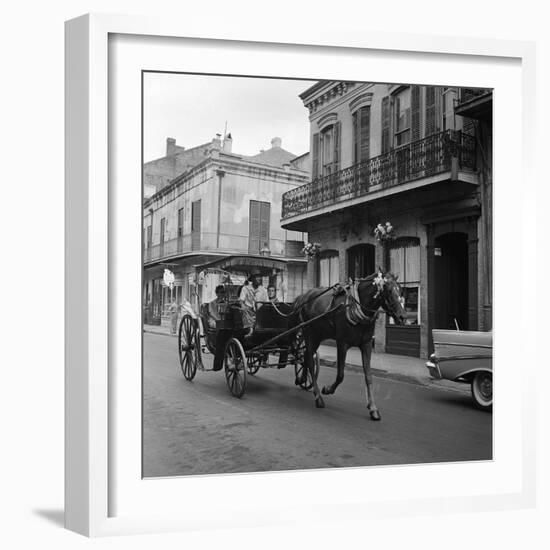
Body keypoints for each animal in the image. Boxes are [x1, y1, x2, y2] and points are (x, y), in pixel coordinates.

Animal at [294, 272, 410, 422]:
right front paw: (327, 389)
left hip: (317, 335)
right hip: (309, 334)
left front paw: (373, 408)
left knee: (306, 357)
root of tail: (304, 296)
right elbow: (340, 375)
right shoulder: (342, 343)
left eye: (401, 290)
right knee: (308, 359)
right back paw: (318, 397)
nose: (403, 317)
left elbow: (368, 376)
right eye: (389, 291)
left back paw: (303, 380)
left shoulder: (366, 344)